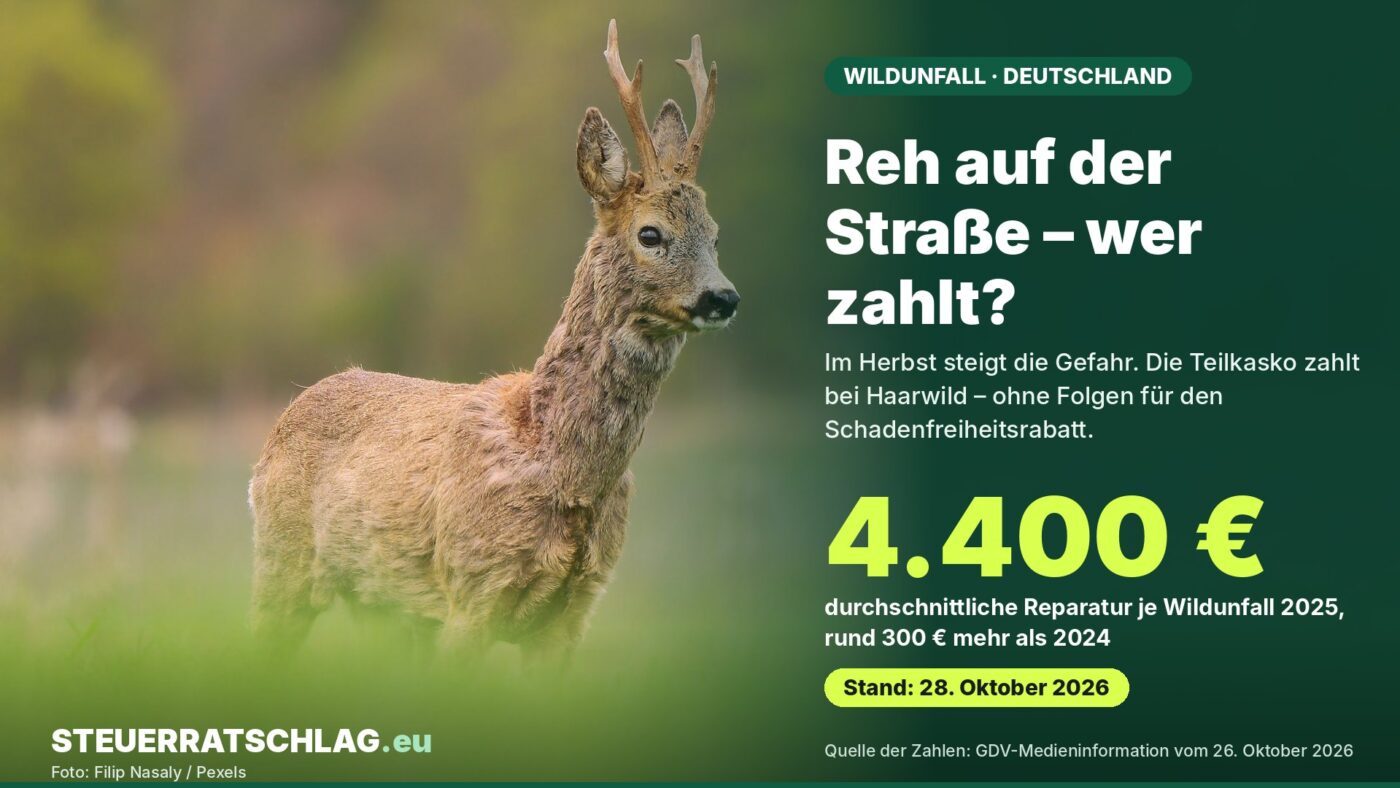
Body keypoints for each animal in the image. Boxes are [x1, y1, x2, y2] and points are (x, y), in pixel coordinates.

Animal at [248, 20, 737, 667]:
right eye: (650, 233)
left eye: (714, 234)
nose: (723, 297)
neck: (559, 468)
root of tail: (282, 422)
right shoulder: (470, 588)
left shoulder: (575, 611)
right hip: (281, 561)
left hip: (382, 609)